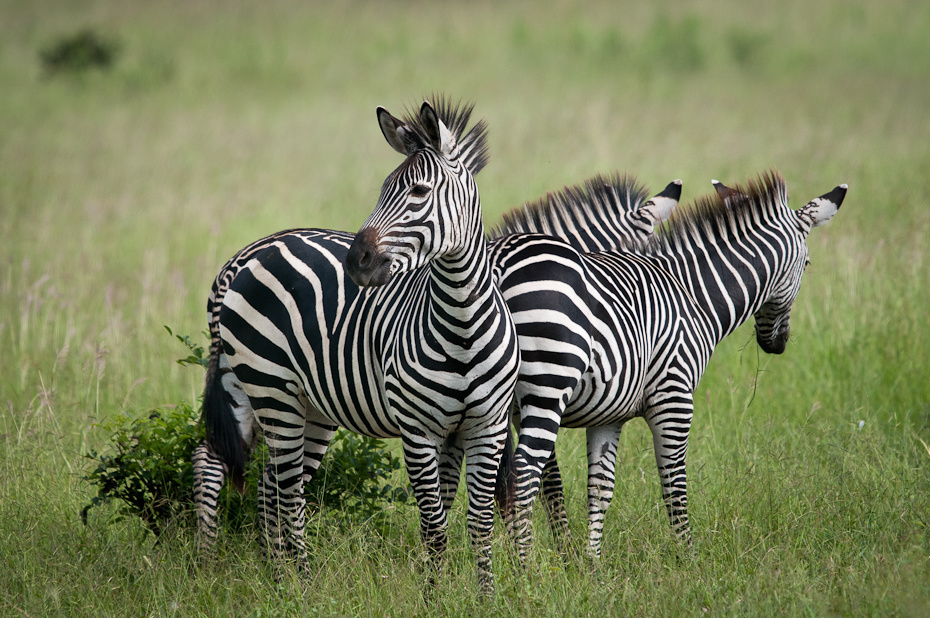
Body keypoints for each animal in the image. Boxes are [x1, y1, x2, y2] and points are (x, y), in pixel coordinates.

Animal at [191, 97, 520, 592]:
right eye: (382, 190)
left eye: (419, 192)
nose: (356, 262)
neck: (461, 322)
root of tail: (245, 259)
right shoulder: (417, 430)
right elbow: (434, 525)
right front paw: (435, 596)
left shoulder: (486, 427)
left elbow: (476, 522)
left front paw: (484, 596)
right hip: (271, 390)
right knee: (273, 486)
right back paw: (280, 580)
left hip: (288, 399)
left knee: (253, 478)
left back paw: (277, 578)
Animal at [492, 171, 848, 556]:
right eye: (808, 265)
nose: (777, 345)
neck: (694, 296)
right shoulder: (674, 399)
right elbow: (674, 485)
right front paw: (688, 557)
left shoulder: (608, 414)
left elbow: (600, 489)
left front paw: (590, 562)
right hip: (547, 387)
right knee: (522, 475)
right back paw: (525, 567)